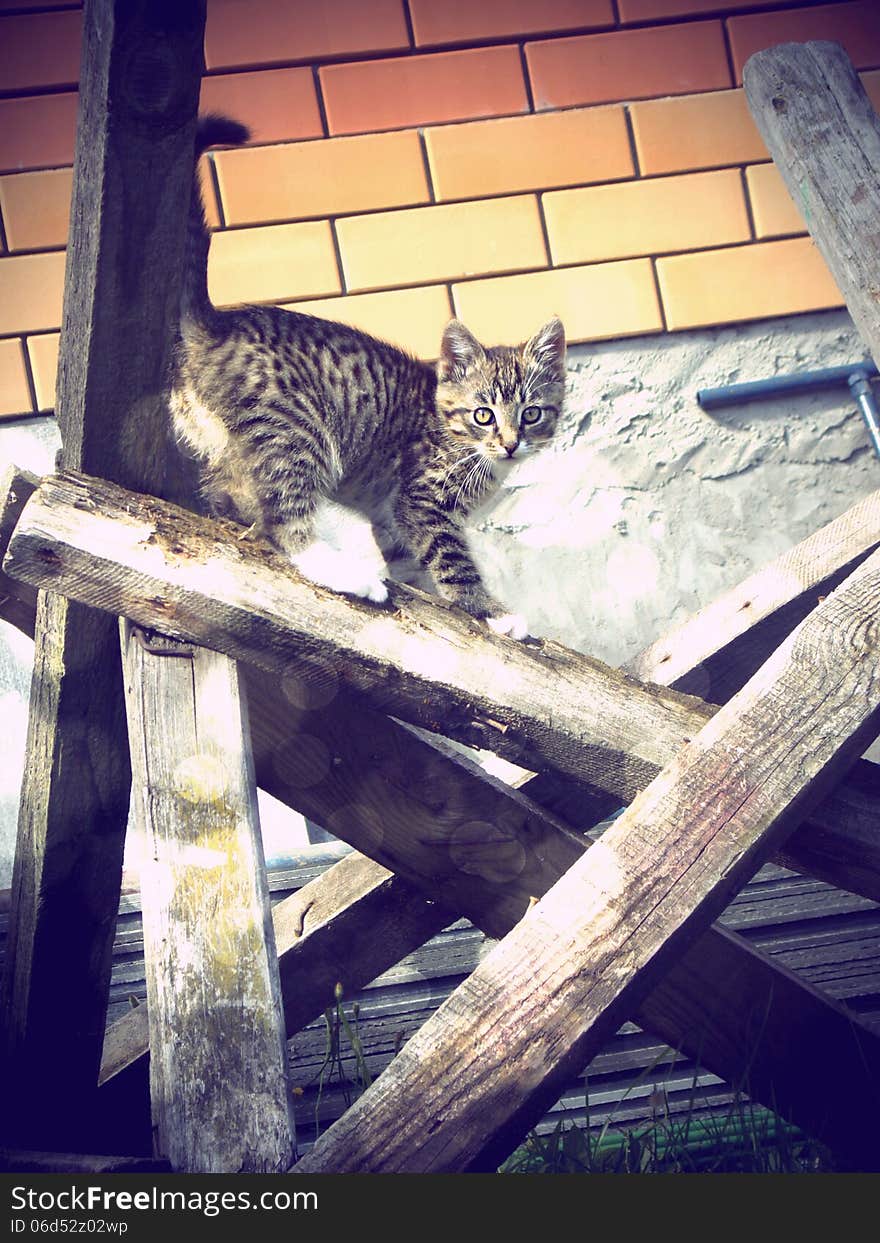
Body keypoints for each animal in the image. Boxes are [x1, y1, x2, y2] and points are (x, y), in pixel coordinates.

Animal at [171, 114, 566, 641]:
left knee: (229, 497)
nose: (510, 443)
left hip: (226, 441)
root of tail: (216, 325)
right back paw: (344, 573)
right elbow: (452, 561)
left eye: (532, 414)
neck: (459, 440)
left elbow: (409, 558)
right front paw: (493, 612)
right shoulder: (420, 500)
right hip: (296, 429)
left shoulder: (391, 514)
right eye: (484, 415)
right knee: (282, 518)